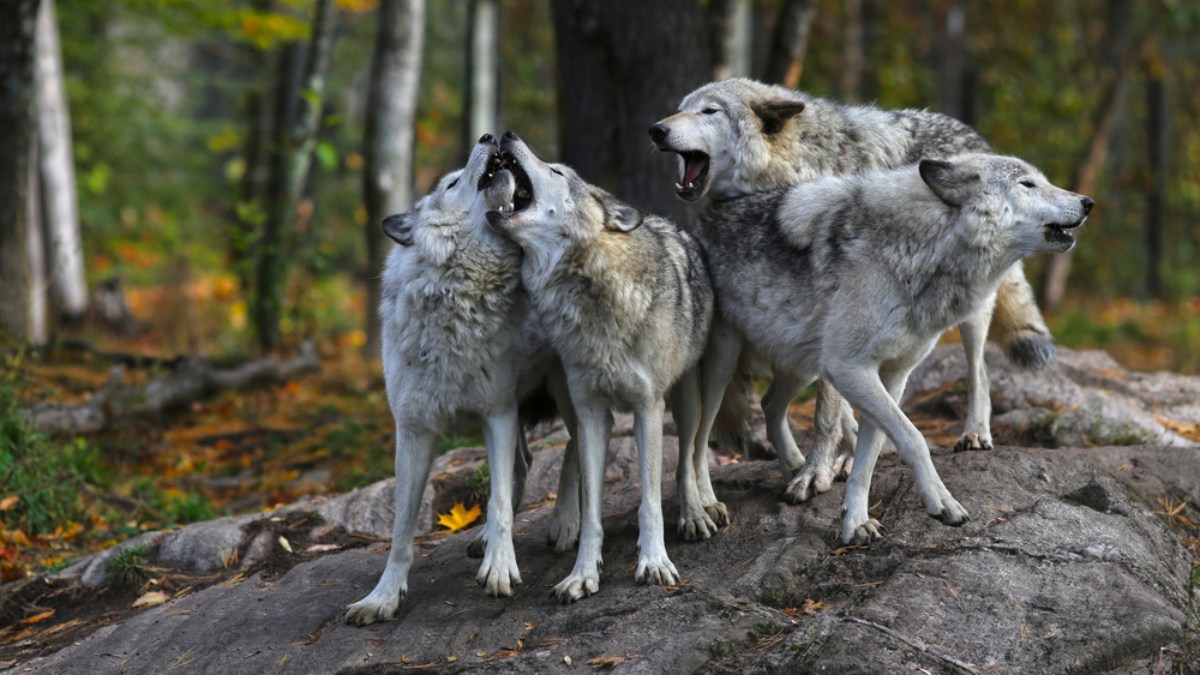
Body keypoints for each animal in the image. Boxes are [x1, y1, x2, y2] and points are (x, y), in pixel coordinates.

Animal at [345, 136, 563, 625]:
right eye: (450, 183)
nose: (488, 137)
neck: (457, 297)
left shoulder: (497, 413)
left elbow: (496, 502)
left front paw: (500, 568)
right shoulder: (414, 431)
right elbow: (401, 529)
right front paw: (382, 597)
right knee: (525, 464)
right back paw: (484, 541)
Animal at [487, 132, 716, 601]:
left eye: (557, 171)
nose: (508, 135)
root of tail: (678, 227)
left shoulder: (648, 407)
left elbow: (650, 500)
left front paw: (653, 561)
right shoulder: (592, 411)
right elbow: (593, 509)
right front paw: (582, 574)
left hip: (686, 397)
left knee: (689, 458)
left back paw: (695, 513)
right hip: (570, 400)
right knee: (573, 453)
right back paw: (564, 524)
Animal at [650, 77, 1057, 504]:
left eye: (709, 111)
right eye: (681, 107)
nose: (656, 130)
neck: (793, 165)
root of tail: (971, 133)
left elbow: (827, 414)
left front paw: (818, 471)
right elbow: (846, 409)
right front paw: (838, 458)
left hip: (971, 315)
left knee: (979, 370)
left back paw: (975, 433)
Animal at [687, 152, 1091, 543]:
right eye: (1027, 184)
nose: (1088, 202)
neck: (922, 248)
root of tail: (694, 224)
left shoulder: (891, 375)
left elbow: (868, 457)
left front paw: (854, 524)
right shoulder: (850, 368)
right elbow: (914, 437)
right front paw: (941, 502)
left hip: (803, 364)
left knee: (770, 404)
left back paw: (796, 470)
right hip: (725, 366)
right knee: (698, 439)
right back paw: (705, 507)